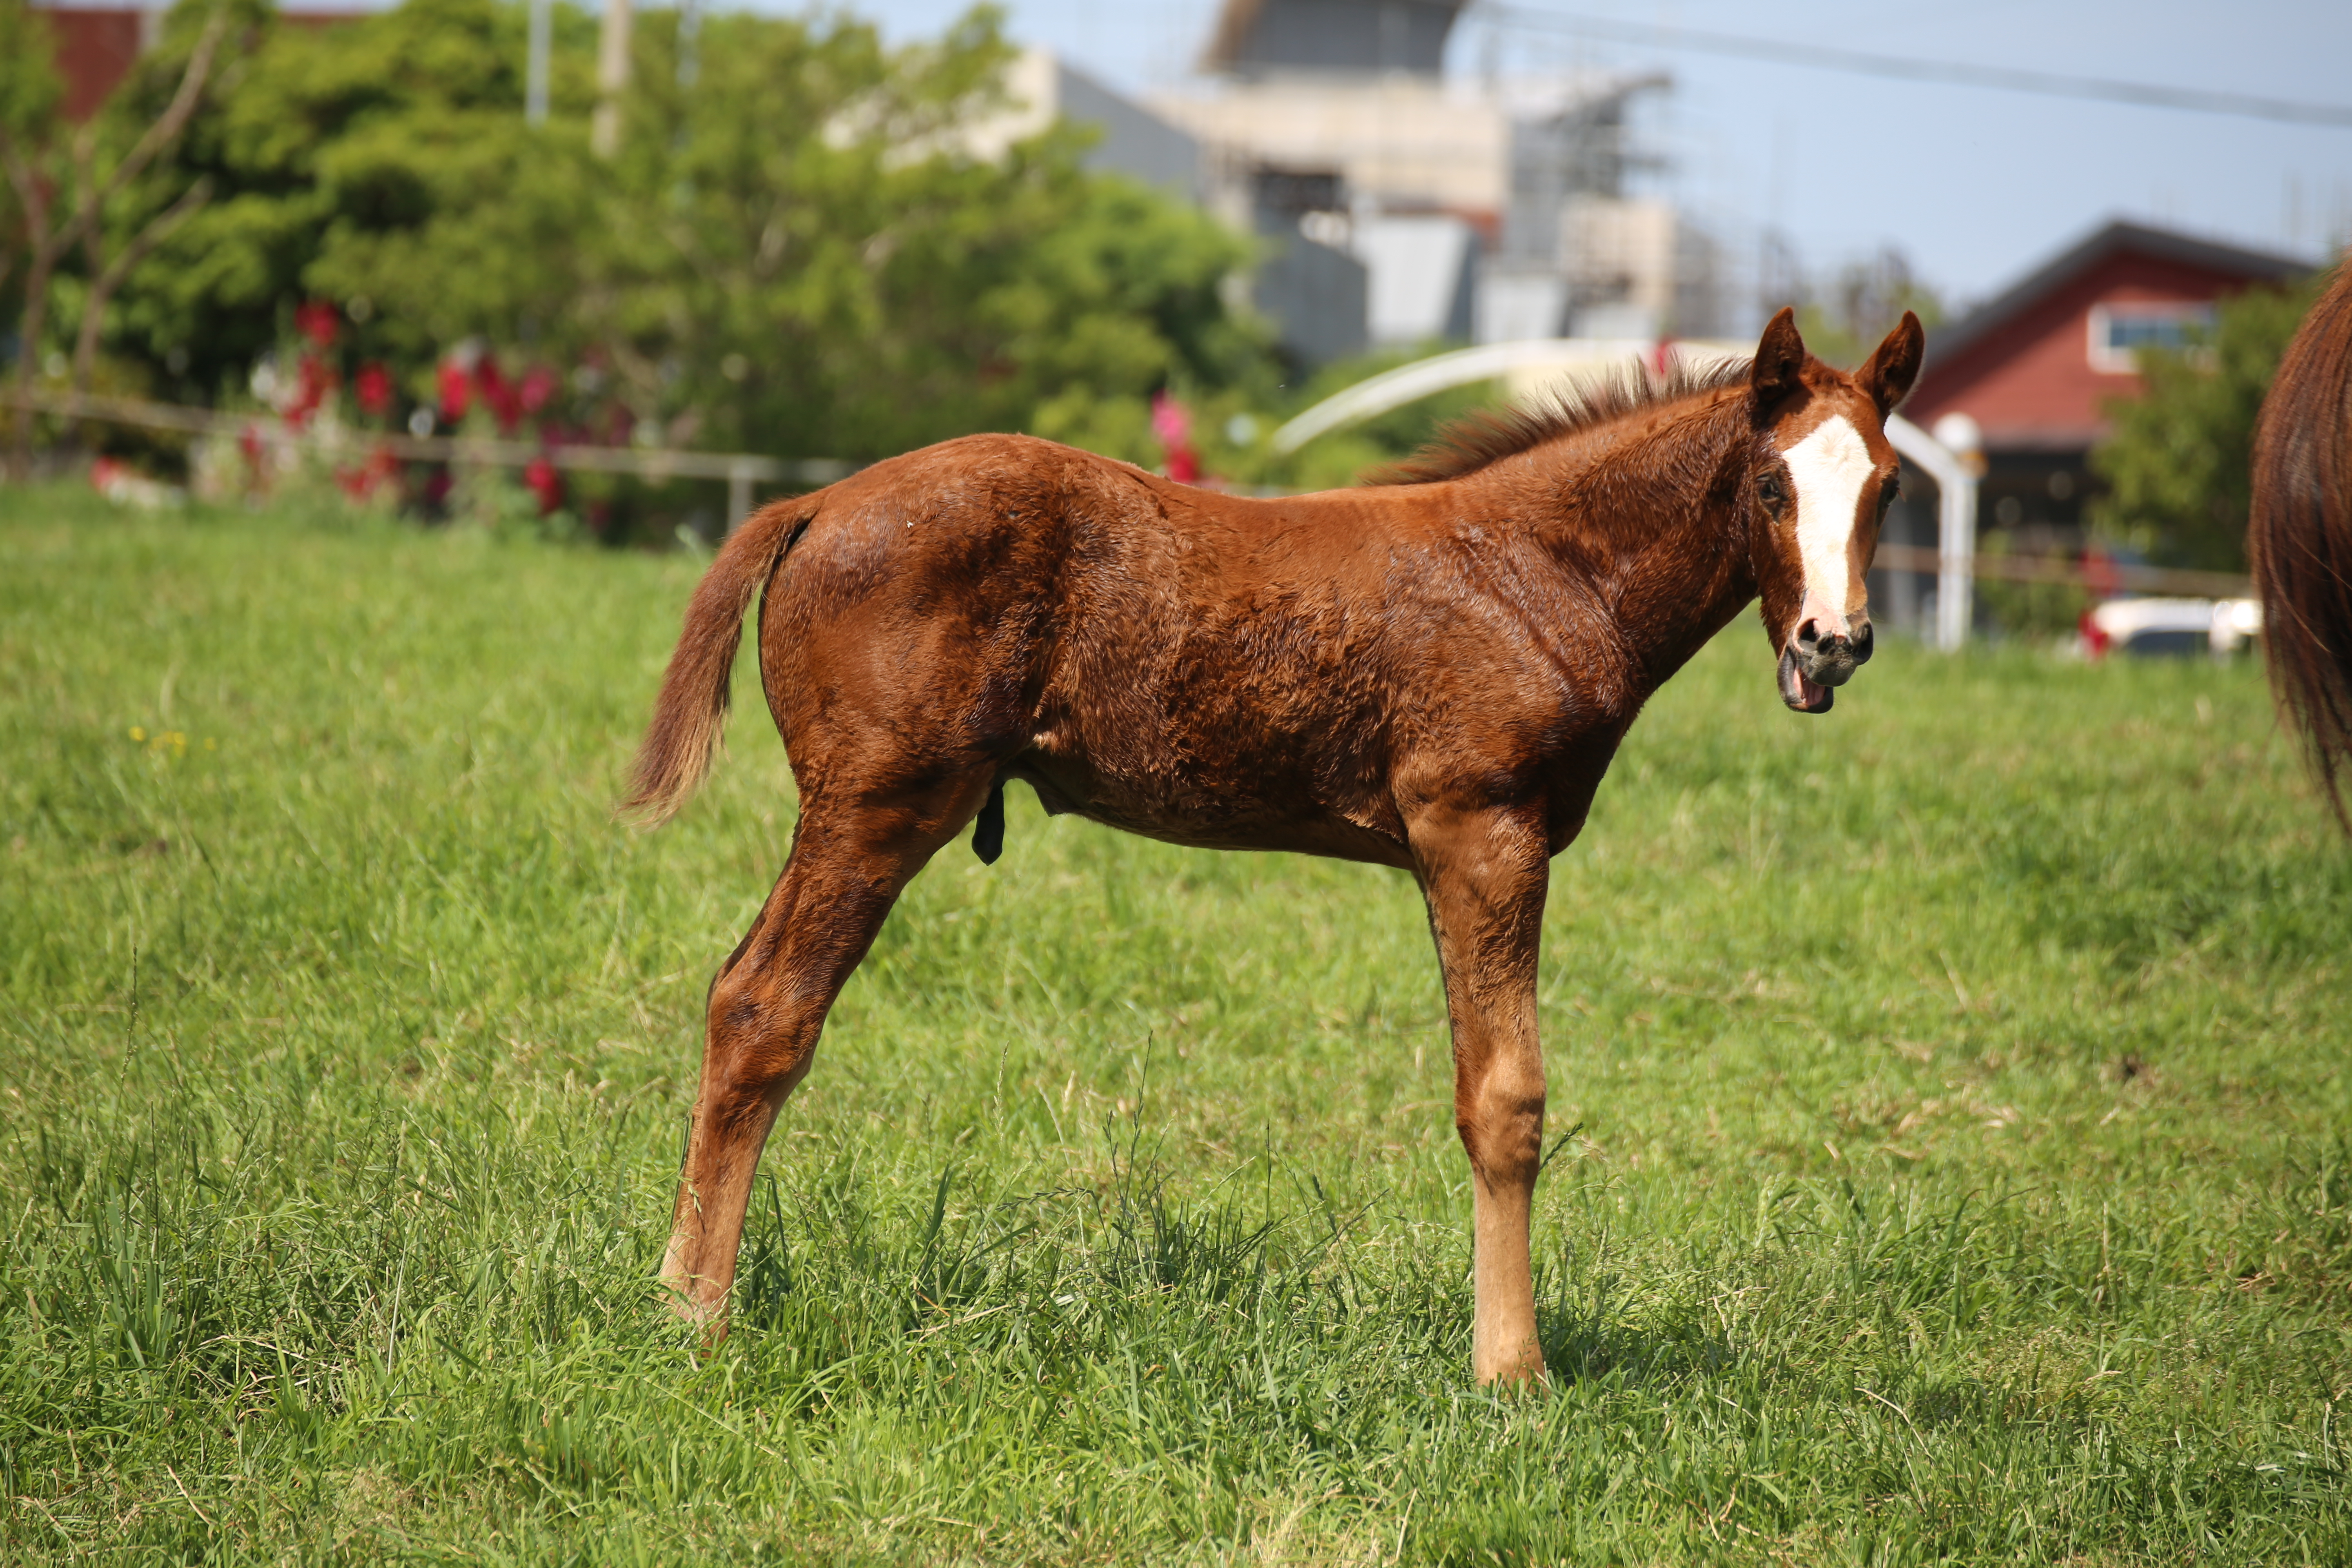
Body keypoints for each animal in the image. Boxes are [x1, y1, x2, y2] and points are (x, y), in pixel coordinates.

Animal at [635, 305, 1919, 1382]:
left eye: (1891, 489)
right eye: (1769, 485)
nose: (1832, 641)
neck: (1538, 570)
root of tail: (814, 506)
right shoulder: (1482, 830)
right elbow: (1506, 1099)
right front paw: (1513, 1372)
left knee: (732, 989)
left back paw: (674, 1291)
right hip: (877, 808)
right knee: (764, 1008)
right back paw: (696, 1315)